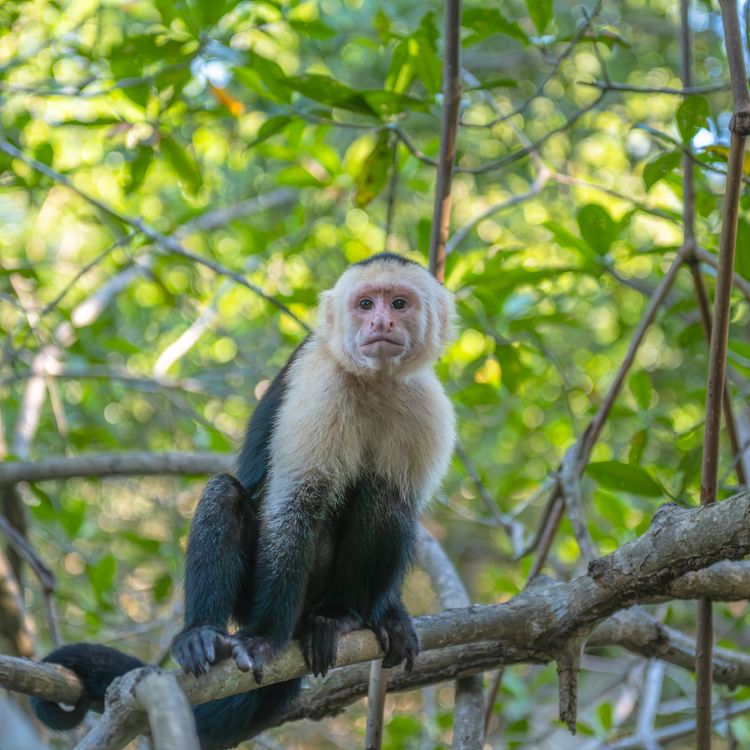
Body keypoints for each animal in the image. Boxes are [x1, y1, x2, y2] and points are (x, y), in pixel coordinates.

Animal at [33, 252, 456, 749]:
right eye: (366, 303)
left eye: (400, 303)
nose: (382, 321)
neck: (372, 381)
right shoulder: (318, 385)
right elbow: (297, 504)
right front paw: (265, 639)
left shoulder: (425, 403)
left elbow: (399, 502)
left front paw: (388, 615)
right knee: (225, 493)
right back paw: (204, 635)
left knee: (385, 501)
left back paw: (340, 616)